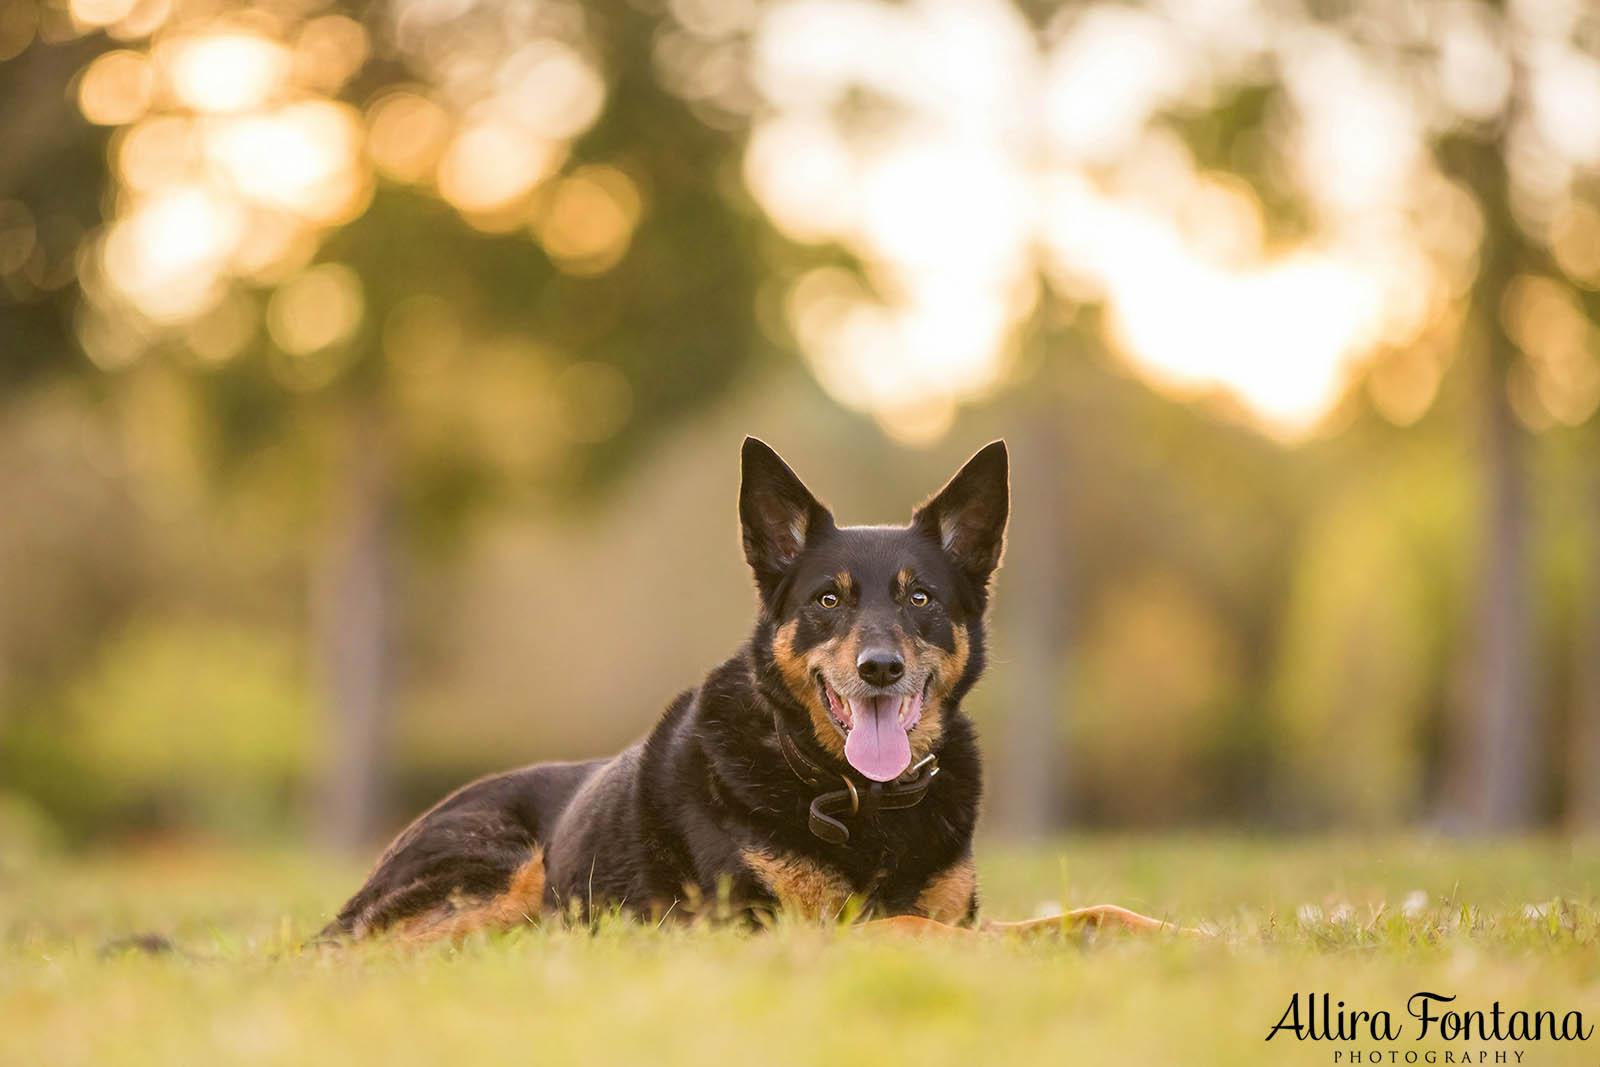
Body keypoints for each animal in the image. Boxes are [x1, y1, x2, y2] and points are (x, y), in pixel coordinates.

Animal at [324, 438, 1177, 940]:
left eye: (920, 597)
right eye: (827, 600)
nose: (880, 668)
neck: (861, 798)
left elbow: (1091, 913)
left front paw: (1188, 937)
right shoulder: (776, 930)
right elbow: (906, 928)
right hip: (504, 873)